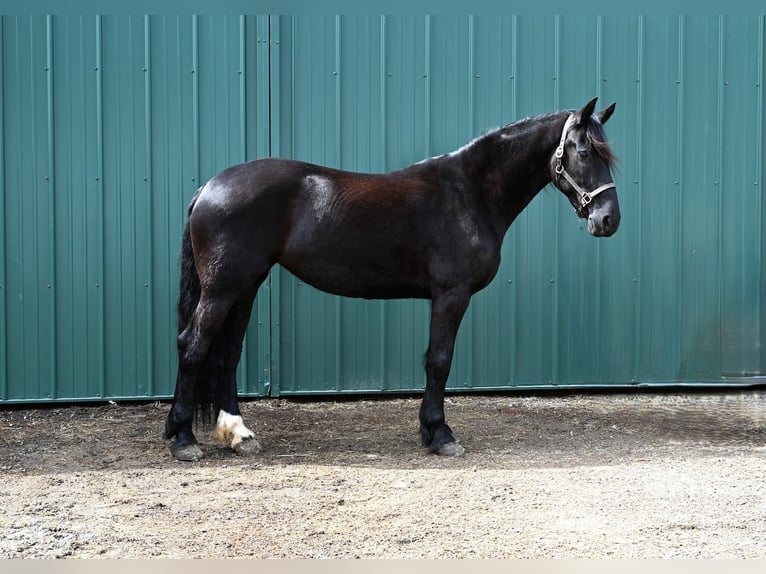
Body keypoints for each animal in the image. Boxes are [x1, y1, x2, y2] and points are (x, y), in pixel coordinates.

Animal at [164, 97, 621, 461]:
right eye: (583, 151)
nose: (608, 219)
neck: (469, 193)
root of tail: (210, 187)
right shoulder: (451, 295)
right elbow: (439, 362)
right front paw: (441, 435)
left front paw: (430, 432)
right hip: (223, 288)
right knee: (193, 346)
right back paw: (184, 440)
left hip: (246, 286)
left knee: (227, 353)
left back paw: (239, 434)